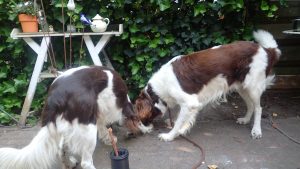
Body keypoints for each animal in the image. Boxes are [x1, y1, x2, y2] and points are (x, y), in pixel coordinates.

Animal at [0, 66, 150, 169]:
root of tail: (55, 96)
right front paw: (145, 129)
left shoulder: (98, 111)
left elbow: (103, 126)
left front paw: (109, 138)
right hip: (88, 127)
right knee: (86, 162)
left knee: (61, 150)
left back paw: (69, 163)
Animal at [136, 30, 282, 141]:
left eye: (140, 117)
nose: (141, 130)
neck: (160, 87)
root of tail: (265, 50)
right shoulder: (191, 104)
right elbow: (184, 118)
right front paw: (183, 129)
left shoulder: (189, 102)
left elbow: (178, 122)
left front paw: (170, 135)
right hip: (242, 87)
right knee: (251, 105)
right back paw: (245, 119)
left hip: (253, 87)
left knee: (258, 108)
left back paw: (256, 130)